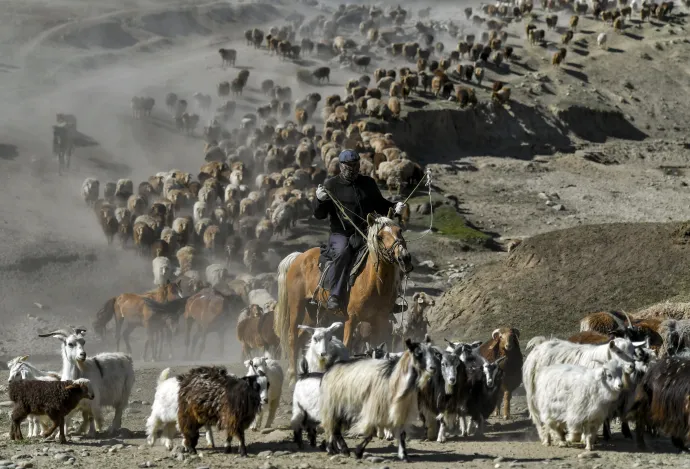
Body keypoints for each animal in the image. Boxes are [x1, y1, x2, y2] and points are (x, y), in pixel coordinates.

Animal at [272, 210, 412, 382]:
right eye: (380, 236)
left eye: (399, 231)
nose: (404, 258)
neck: (373, 283)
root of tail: (299, 256)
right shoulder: (351, 319)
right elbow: (347, 346)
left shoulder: (381, 320)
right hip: (296, 306)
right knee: (293, 338)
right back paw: (292, 375)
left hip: (313, 311)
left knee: (302, 338)